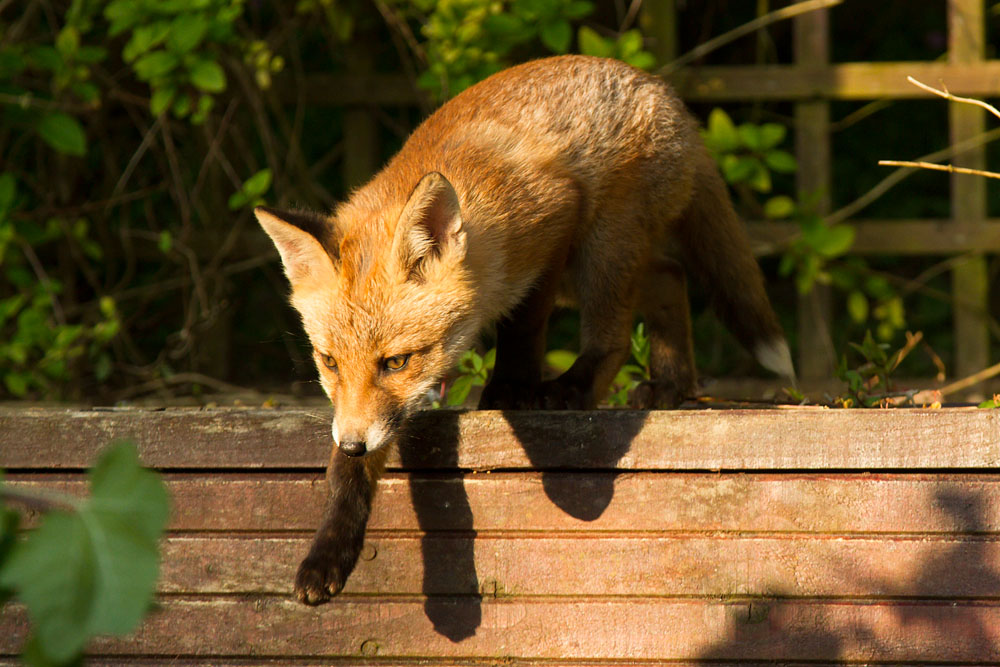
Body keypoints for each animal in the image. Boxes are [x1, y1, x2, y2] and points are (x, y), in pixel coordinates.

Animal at [256, 55, 794, 604]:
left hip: (599, 250)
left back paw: (578, 389)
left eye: (397, 361)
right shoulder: (364, 412)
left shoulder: (554, 221)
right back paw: (671, 384)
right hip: (595, 271)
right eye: (328, 362)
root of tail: (659, 88)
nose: (352, 444)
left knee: (617, 334)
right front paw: (328, 552)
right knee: (670, 277)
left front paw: (511, 390)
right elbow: (346, 476)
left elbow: (522, 327)